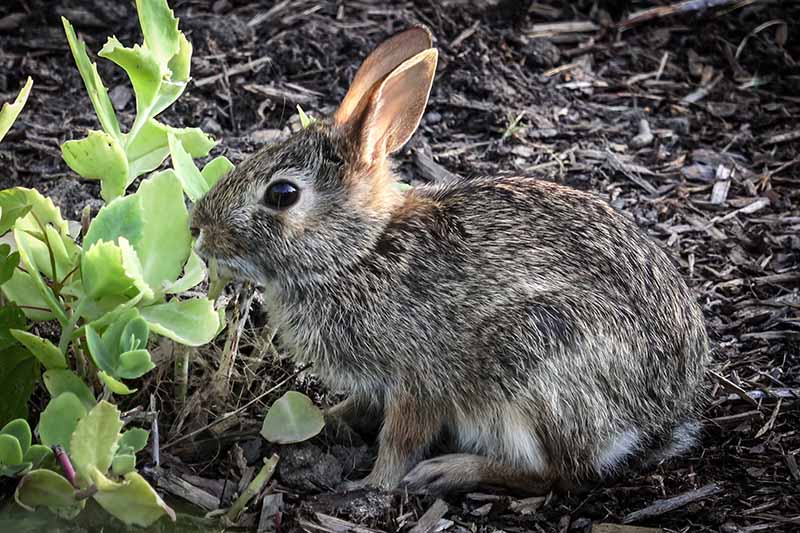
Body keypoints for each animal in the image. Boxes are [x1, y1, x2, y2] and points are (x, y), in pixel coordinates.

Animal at [191, 26, 708, 494]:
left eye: (282, 194)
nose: (199, 229)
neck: (360, 253)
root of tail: (658, 417)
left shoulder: (419, 380)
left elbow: (401, 438)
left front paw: (372, 484)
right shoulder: (375, 384)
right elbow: (360, 408)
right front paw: (328, 419)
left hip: (534, 362)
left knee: (556, 475)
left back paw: (447, 472)